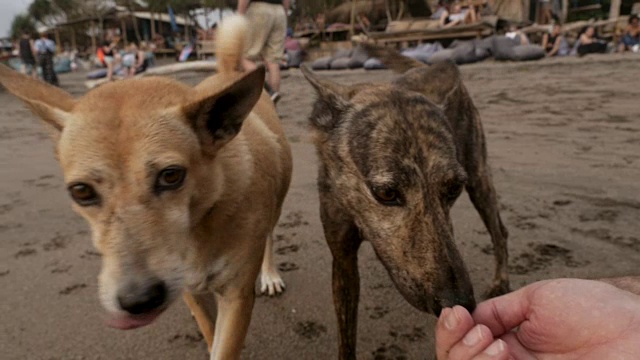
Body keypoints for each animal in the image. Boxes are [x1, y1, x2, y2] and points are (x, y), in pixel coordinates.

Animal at [0, 15, 290, 358]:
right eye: (81, 191)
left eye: (171, 175)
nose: (138, 300)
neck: (200, 224)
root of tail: (228, 73)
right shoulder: (189, 289)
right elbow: (207, 329)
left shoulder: (236, 297)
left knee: (270, 235)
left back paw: (270, 274)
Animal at [302, 46, 510, 358]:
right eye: (386, 193)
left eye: (453, 188)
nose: (458, 302)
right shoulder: (343, 258)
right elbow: (346, 335)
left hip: (479, 179)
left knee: (500, 230)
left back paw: (501, 281)